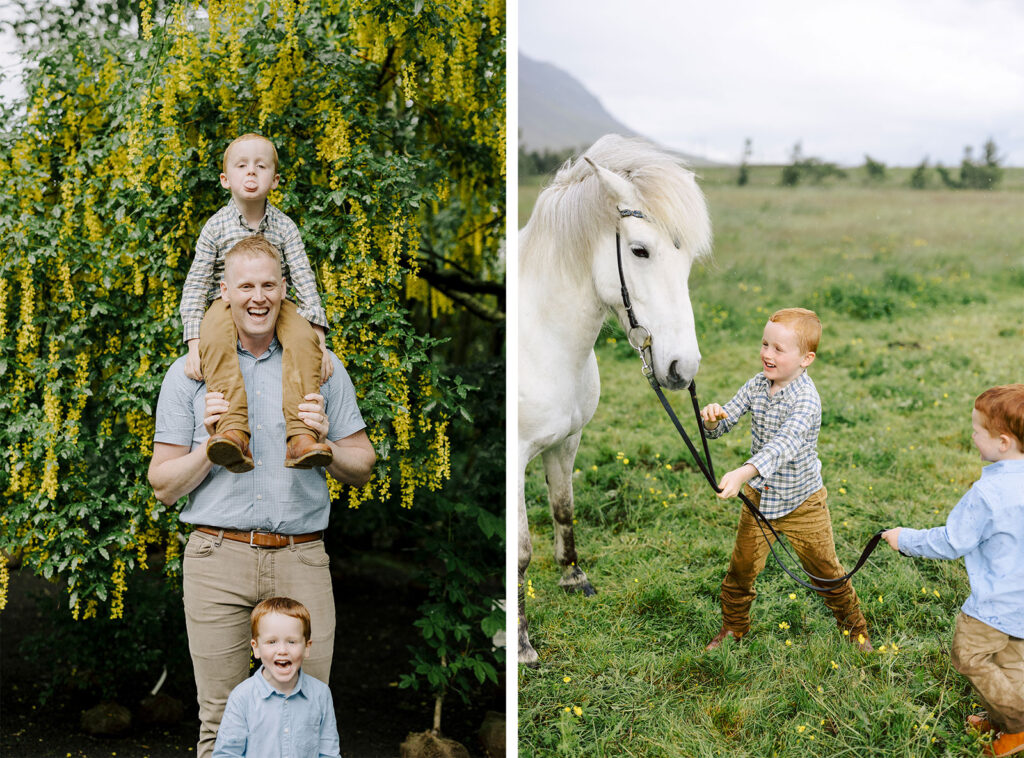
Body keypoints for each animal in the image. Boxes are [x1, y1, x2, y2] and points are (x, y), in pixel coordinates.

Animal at [520, 135, 712, 663]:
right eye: (640, 250)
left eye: (687, 261)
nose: (683, 368)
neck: (543, 339)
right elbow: (519, 549)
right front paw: (521, 644)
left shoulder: (566, 441)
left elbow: (563, 508)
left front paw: (573, 577)